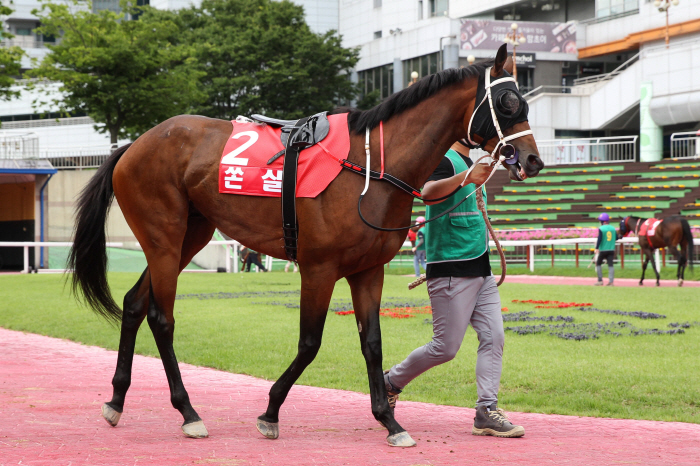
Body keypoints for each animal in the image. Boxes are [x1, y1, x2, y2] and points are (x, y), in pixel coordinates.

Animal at [67, 44, 548, 448]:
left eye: (524, 103)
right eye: (509, 103)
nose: (533, 160)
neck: (370, 168)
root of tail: (134, 144)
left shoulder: (367, 270)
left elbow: (372, 342)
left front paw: (388, 420)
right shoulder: (319, 269)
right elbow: (310, 343)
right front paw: (270, 412)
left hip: (190, 236)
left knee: (134, 303)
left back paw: (116, 401)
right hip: (164, 238)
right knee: (160, 317)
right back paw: (188, 412)